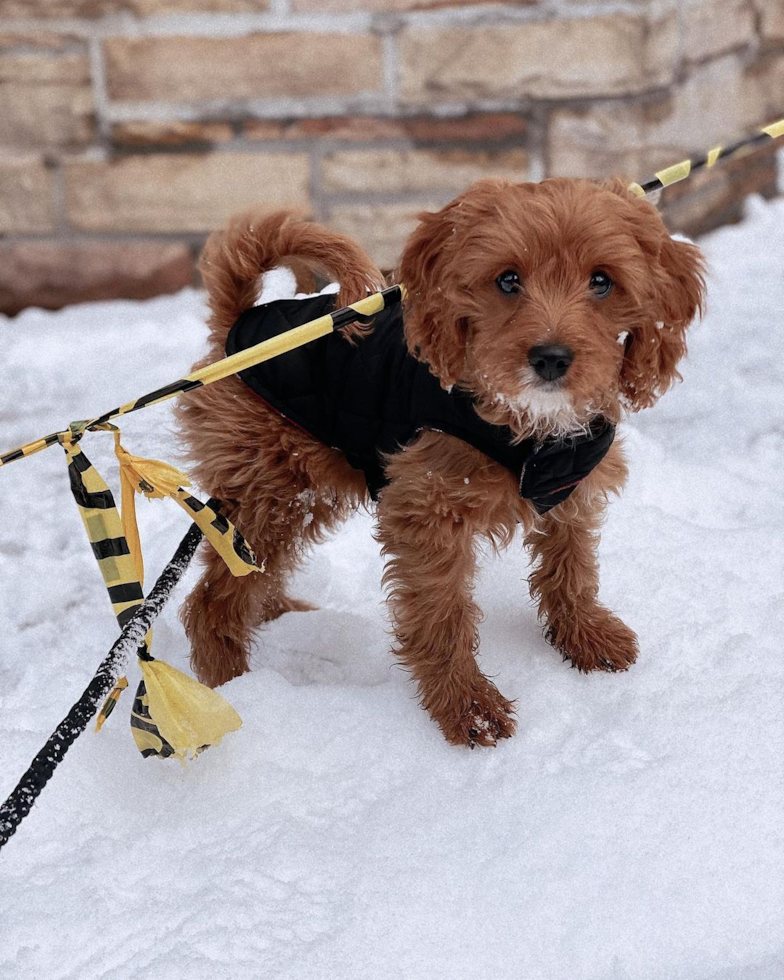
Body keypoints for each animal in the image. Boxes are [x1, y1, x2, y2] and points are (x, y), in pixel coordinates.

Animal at [178, 176, 704, 748]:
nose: (551, 358)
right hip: (271, 486)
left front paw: (586, 637)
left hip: (301, 491)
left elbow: (572, 569)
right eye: (508, 280)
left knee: (257, 576)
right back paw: (233, 687)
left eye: (602, 282)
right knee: (213, 599)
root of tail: (239, 328)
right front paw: (467, 707)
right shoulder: (427, 511)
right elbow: (442, 614)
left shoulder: (572, 492)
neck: (528, 430)